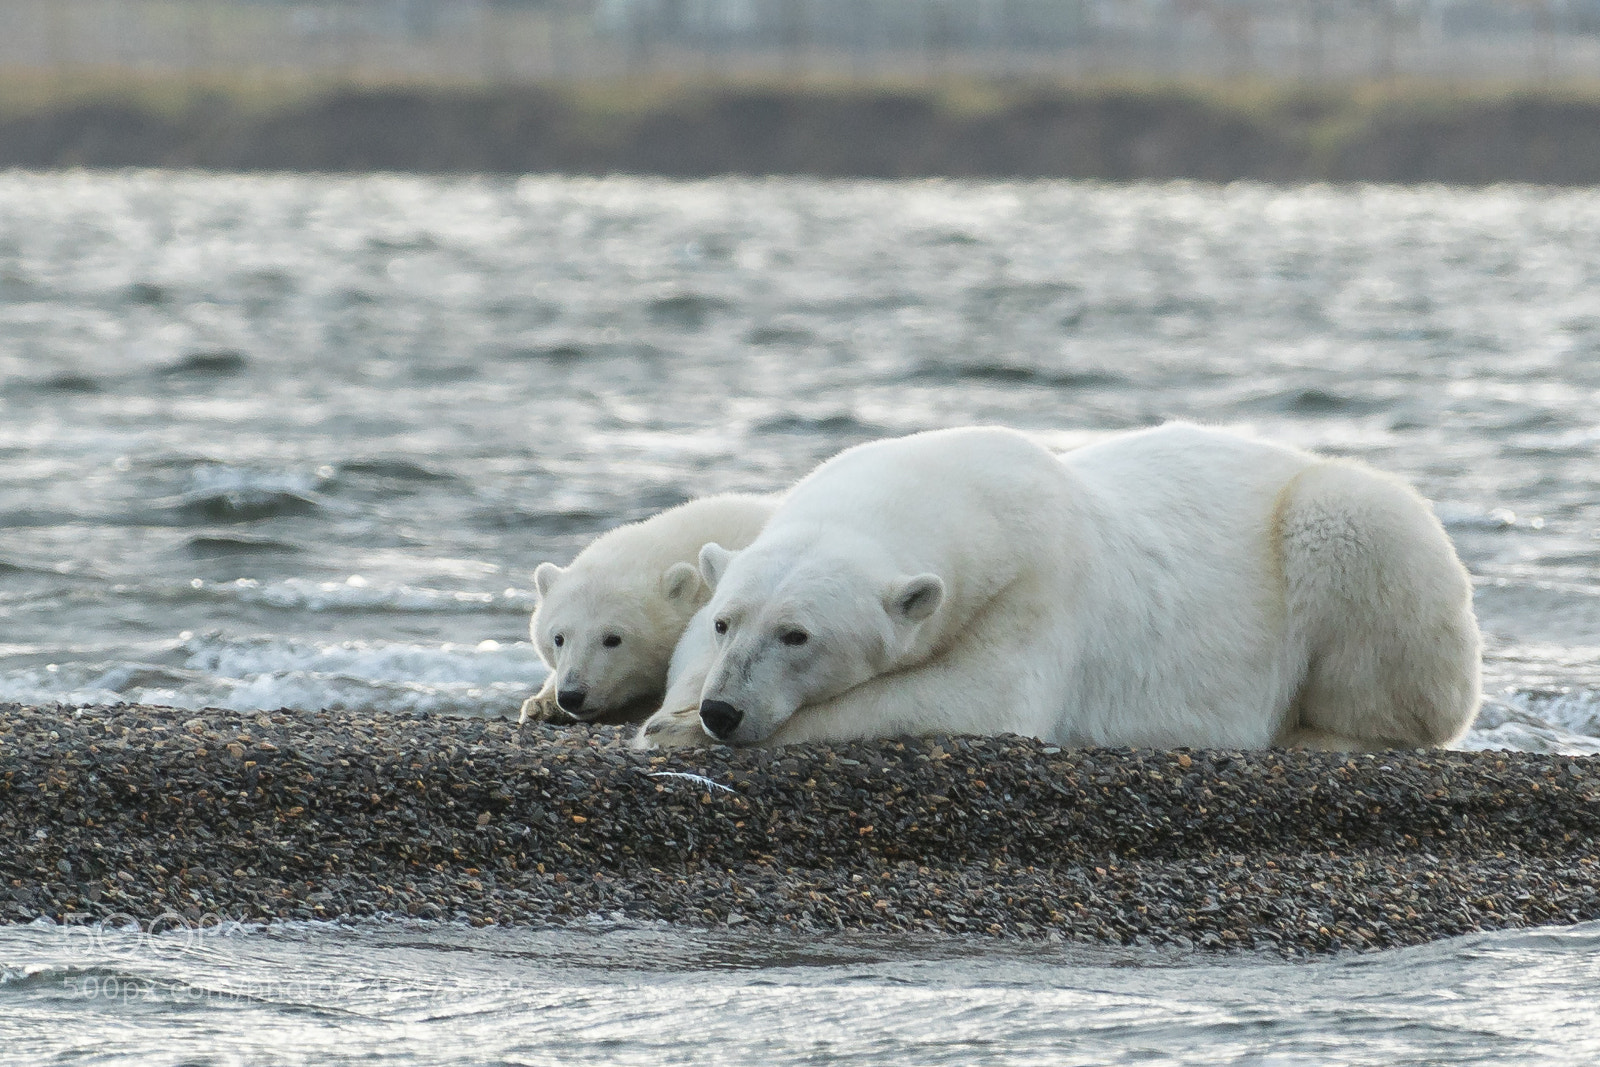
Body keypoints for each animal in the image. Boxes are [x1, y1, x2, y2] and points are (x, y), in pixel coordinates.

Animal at [632, 423, 1481, 751]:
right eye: (725, 622)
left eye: (798, 634)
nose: (722, 709)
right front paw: (672, 712)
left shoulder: (1037, 587)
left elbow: (978, 699)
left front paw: (676, 731)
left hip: (1338, 526)